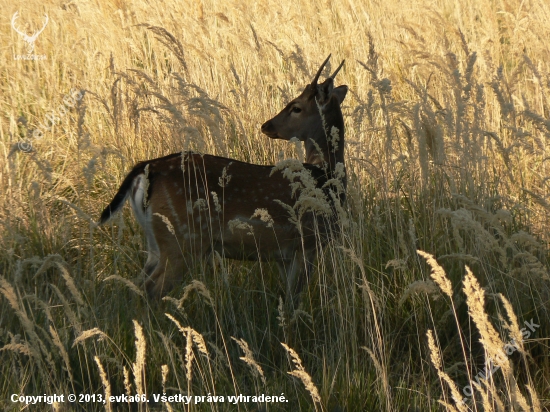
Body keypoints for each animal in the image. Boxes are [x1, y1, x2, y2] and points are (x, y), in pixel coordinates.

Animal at [99, 55, 350, 306]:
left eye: (296, 107)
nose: (267, 125)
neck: (324, 175)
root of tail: (146, 169)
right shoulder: (306, 243)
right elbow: (293, 303)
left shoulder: (284, 255)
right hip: (182, 239)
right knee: (150, 289)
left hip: (156, 242)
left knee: (136, 286)